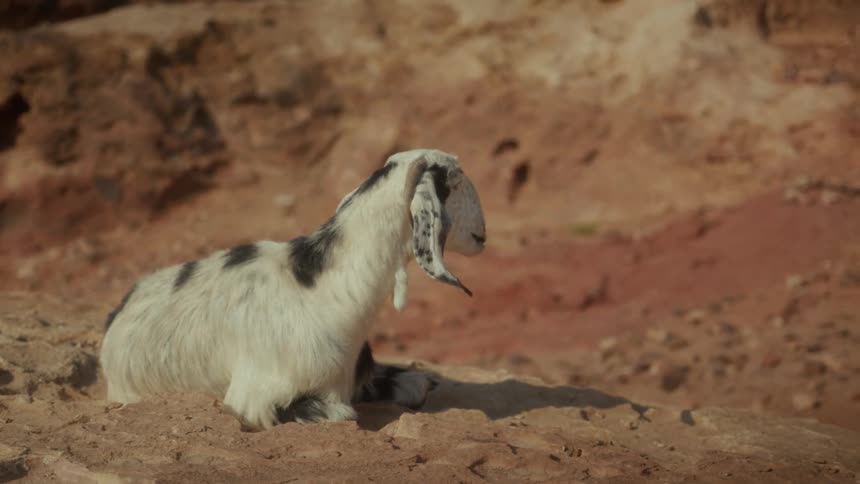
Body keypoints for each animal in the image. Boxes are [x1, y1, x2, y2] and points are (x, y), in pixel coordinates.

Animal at [99, 149, 487, 430]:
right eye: (454, 182)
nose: (482, 235)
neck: (323, 288)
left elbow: (416, 383)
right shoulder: (255, 399)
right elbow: (342, 413)